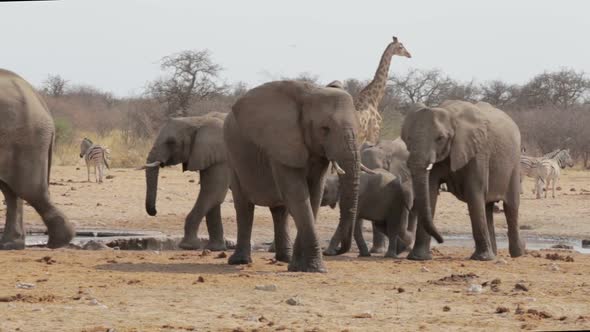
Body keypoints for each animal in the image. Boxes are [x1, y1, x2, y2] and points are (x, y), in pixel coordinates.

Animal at [140, 113, 230, 250]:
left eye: (171, 142)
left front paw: (188, 246)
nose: (154, 212)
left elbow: (213, 194)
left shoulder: (221, 157)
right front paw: (214, 248)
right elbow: (213, 198)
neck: (198, 120)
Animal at [224, 81, 360, 272]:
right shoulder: (280, 144)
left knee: (280, 211)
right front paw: (315, 269)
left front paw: (297, 267)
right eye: (324, 129)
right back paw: (239, 261)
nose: (334, 251)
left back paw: (285, 258)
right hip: (232, 156)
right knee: (244, 206)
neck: (309, 94)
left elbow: (314, 196)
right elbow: (297, 194)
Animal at [402, 100, 528, 260]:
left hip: (514, 164)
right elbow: (430, 191)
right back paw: (494, 253)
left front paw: (482, 259)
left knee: (511, 206)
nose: (441, 240)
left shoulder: (479, 151)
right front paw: (418, 258)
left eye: (440, 138)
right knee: (487, 207)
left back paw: (518, 253)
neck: (450, 113)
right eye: (408, 139)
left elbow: (474, 191)